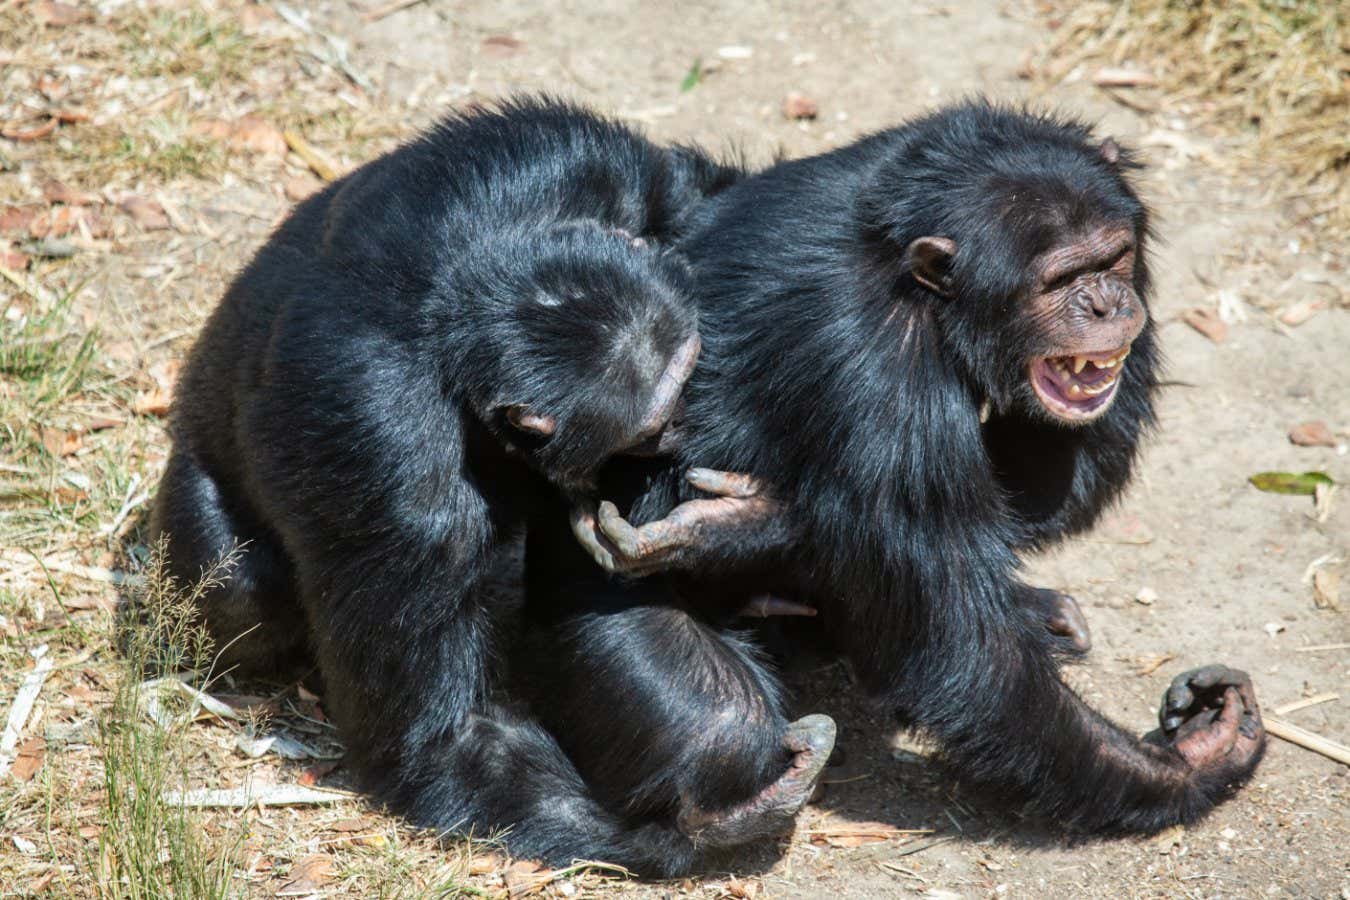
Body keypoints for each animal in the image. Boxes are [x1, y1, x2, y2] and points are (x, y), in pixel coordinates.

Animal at [147, 98, 831, 874]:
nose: (687, 426)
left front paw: (738, 525)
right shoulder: (388, 468)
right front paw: (696, 826)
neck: (464, 281)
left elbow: (714, 197)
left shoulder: (574, 152)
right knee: (239, 590)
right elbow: (445, 734)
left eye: (693, 369)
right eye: (653, 424)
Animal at [542, 100, 1258, 852]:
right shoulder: (879, 364)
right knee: (720, 718)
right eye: (1060, 281)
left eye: (1114, 256)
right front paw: (1189, 762)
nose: (1105, 303)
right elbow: (967, 652)